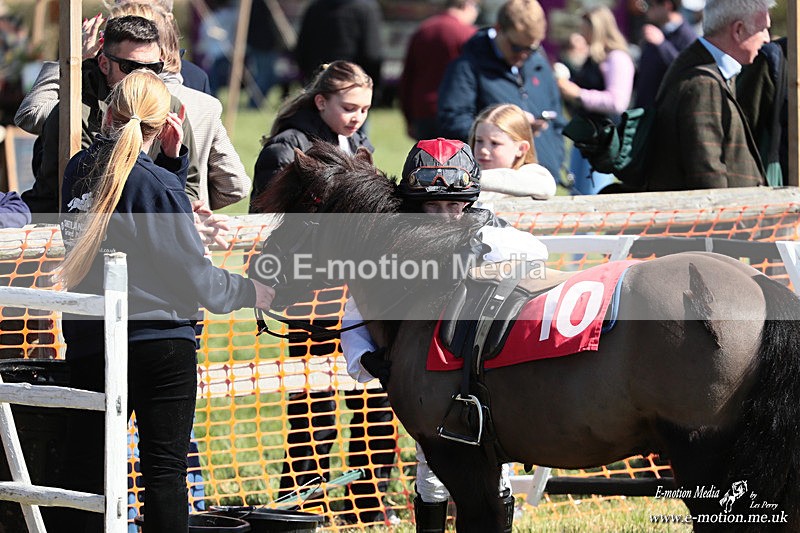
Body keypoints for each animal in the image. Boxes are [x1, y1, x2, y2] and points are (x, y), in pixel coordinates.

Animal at [250, 144, 800, 532]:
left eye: (295, 212)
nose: (259, 268)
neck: (433, 286)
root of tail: (759, 286)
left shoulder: (458, 455)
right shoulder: (481, 455)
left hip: (705, 460)